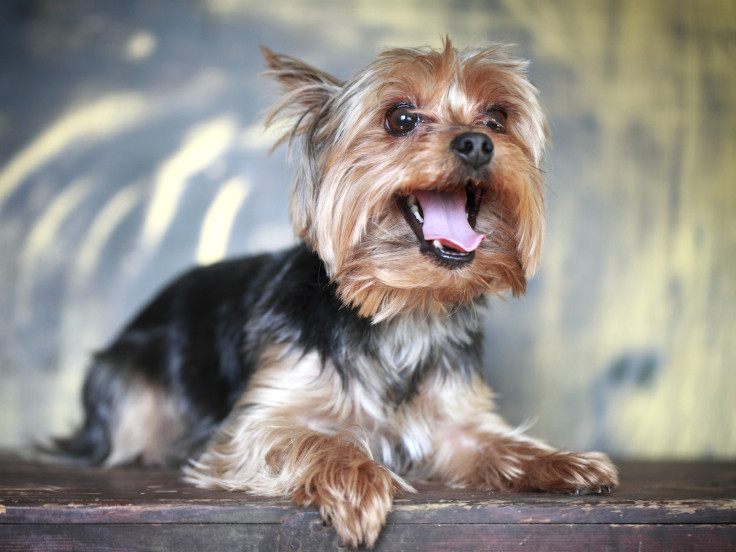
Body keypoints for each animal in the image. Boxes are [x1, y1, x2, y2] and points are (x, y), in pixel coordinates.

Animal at [49, 38, 620, 548]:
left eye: (496, 119)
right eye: (401, 119)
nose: (478, 143)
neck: (401, 306)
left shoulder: (455, 418)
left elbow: (495, 441)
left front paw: (564, 462)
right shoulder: (255, 422)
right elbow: (316, 437)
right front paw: (358, 483)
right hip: (128, 390)